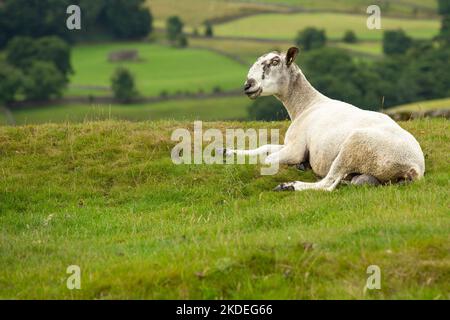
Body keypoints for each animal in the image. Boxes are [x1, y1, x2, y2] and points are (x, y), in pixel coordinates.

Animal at [225, 47, 426, 191]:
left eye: (275, 62)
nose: (248, 85)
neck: (306, 105)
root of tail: (414, 168)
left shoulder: (296, 148)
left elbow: (268, 159)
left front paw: (298, 166)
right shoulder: (290, 144)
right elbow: (264, 147)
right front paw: (229, 152)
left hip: (355, 146)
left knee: (327, 184)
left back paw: (290, 185)